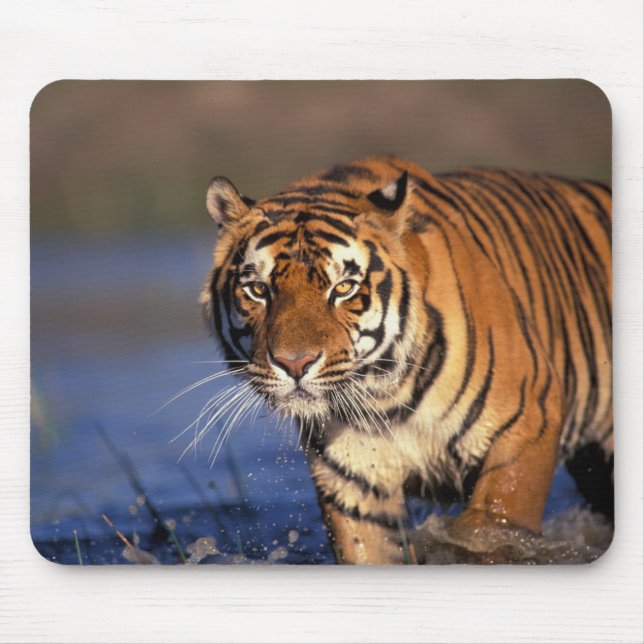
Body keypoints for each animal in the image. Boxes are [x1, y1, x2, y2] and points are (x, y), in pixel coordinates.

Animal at [200, 155, 612, 564]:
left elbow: (489, 532)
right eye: (258, 290)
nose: (295, 364)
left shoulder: (527, 422)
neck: (384, 397)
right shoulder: (352, 478)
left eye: (343, 288)